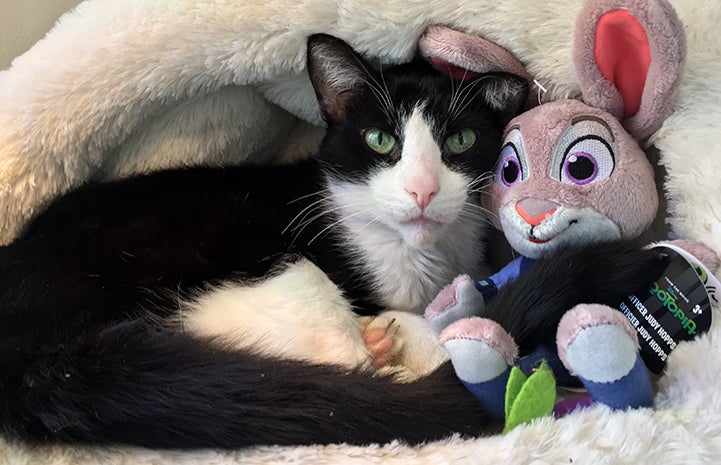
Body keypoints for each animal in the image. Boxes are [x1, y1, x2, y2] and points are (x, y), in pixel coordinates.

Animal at [0, 32, 668, 446]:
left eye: (459, 142)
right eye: (380, 141)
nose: (423, 189)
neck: (415, 253)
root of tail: (39, 359)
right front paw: (408, 332)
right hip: (250, 260)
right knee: (340, 356)